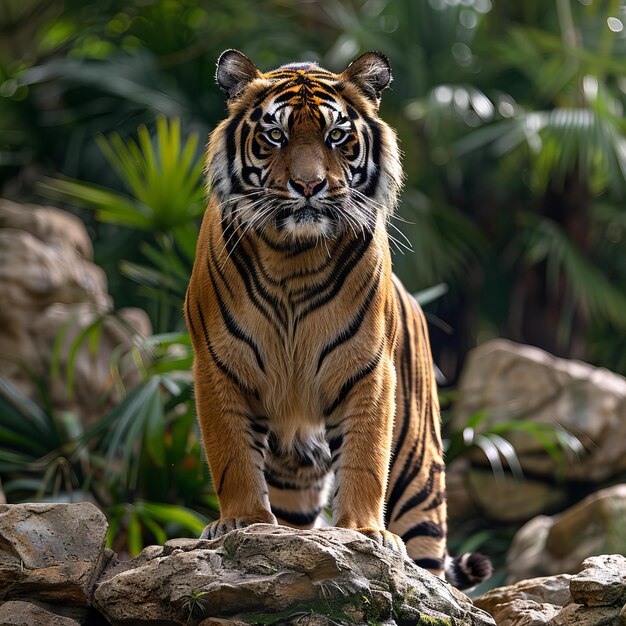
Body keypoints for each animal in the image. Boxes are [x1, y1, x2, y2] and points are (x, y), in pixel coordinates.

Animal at [183, 50, 490, 588]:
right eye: (275, 135)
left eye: (336, 136)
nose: (309, 185)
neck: (292, 257)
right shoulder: (218, 365)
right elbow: (231, 456)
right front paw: (240, 522)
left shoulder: (368, 368)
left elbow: (366, 457)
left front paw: (365, 532)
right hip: (293, 478)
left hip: (420, 478)